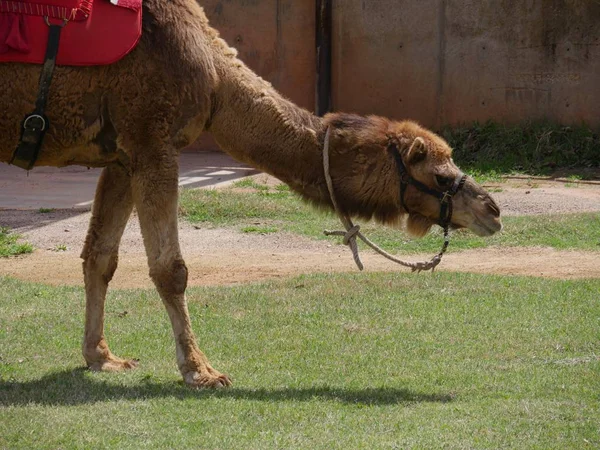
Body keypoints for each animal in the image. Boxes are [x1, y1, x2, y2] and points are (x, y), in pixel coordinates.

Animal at [0, 0, 502, 386]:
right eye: (440, 175)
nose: (493, 210)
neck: (216, 81)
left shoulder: (122, 154)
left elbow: (100, 257)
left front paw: (101, 358)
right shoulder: (151, 138)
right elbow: (171, 270)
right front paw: (200, 371)